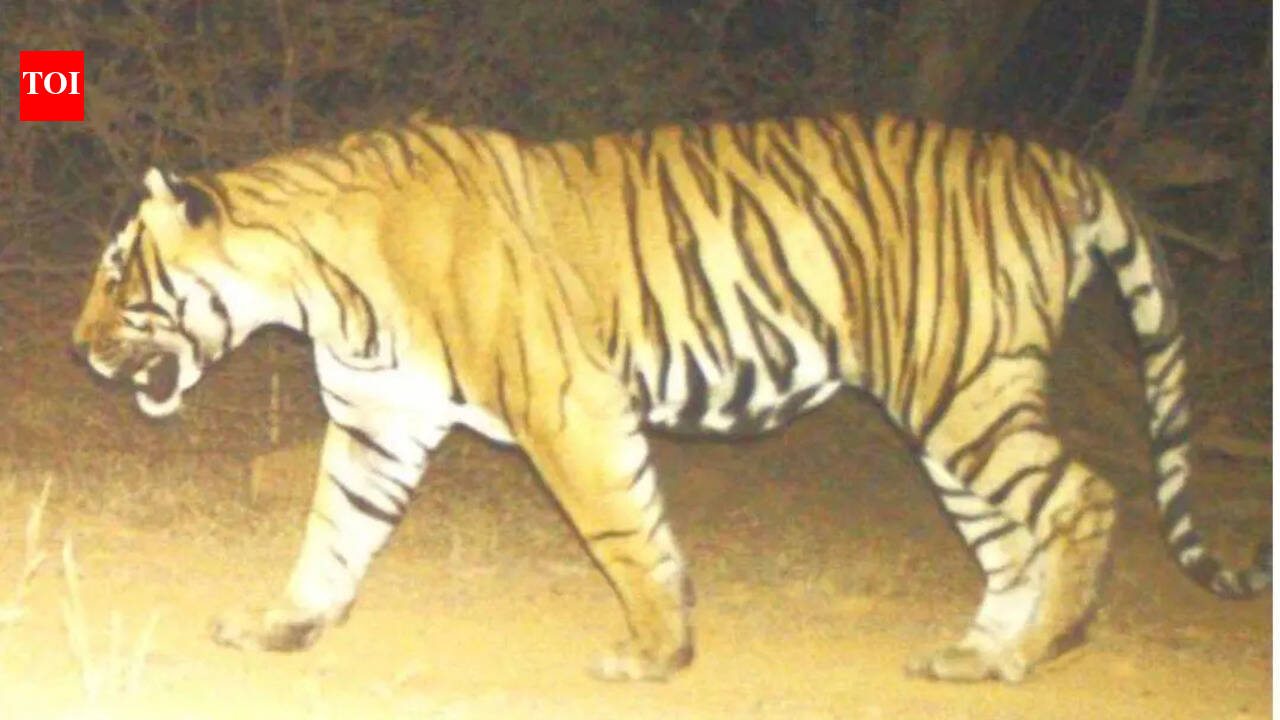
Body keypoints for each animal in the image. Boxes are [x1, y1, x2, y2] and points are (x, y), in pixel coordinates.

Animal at [71, 111, 1270, 683]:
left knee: (1081, 502)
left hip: (962, 388)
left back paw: (1029, 656)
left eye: (120, 276)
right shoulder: (378, 422)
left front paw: (654, 654)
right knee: (1012, 540)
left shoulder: (567, 403)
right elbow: (332, 534)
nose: (77, 348)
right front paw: (285, 626)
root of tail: (1054, 162)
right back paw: (972, 657)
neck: (314, 285)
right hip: (956, 411)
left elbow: (622, 531)